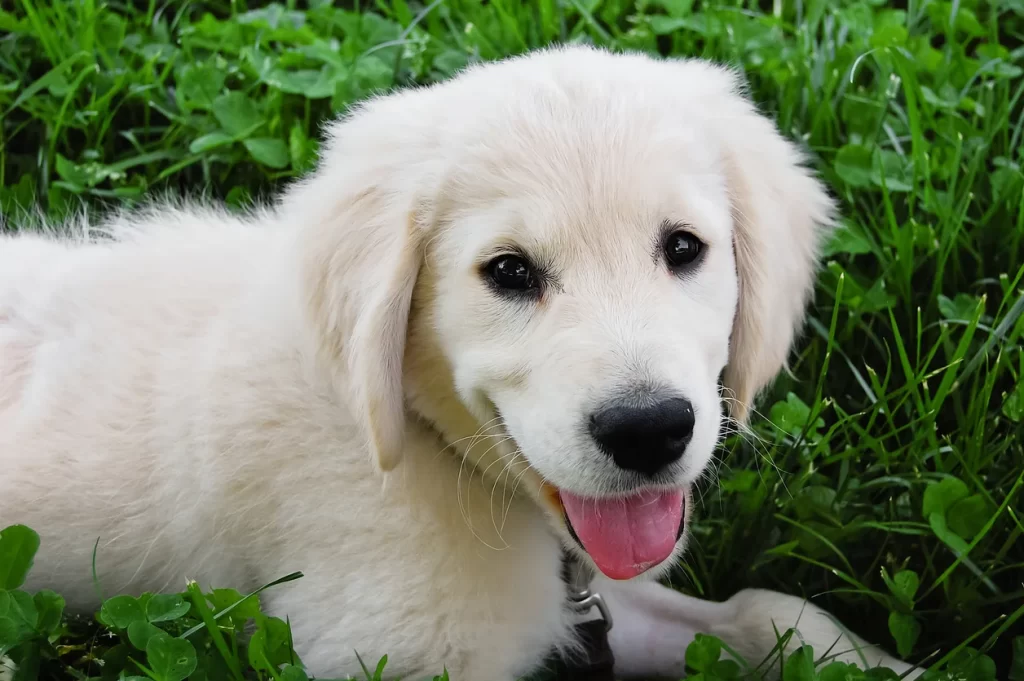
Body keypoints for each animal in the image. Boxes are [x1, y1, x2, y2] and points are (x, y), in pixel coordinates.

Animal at [0, 45, 925, 675]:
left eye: (684, 248)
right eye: (509, 272)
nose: (650, 430)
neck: (415, 436)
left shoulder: (576, 593)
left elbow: (767, 611)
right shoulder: (400, 646)